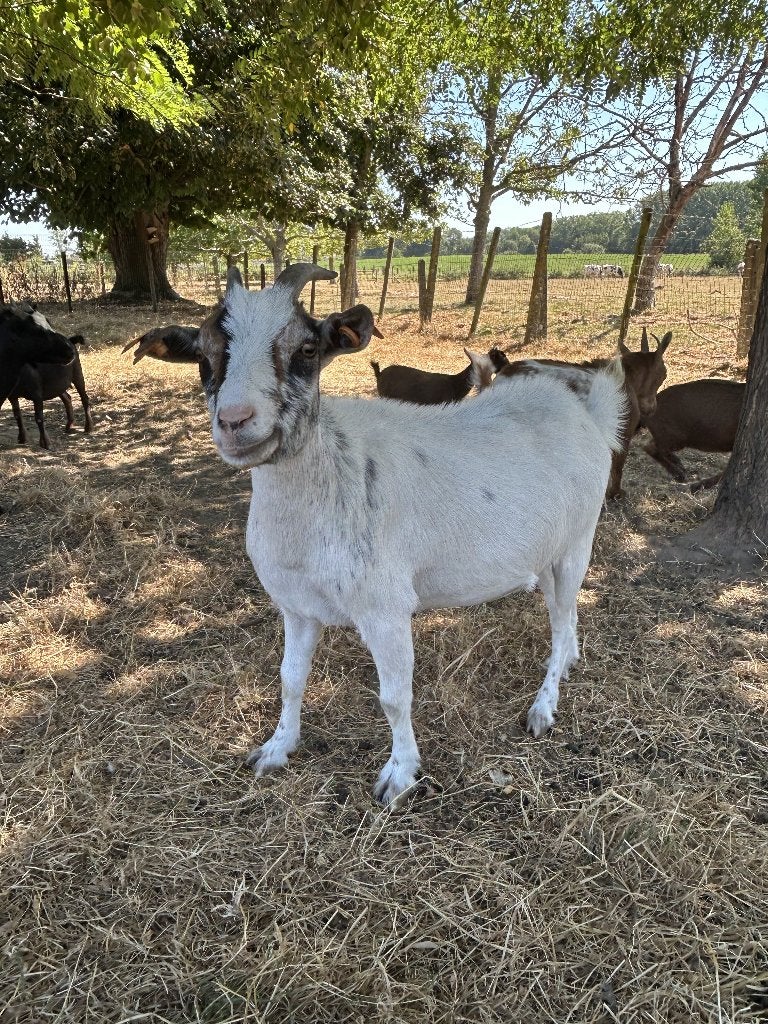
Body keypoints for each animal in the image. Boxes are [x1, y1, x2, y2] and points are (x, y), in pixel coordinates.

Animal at [495, 326, 671, 499]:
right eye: (664, 373)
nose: (651, 408)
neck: (629, 381)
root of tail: (501, 378)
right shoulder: (623, 435)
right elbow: (617, 468)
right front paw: (615, 493)